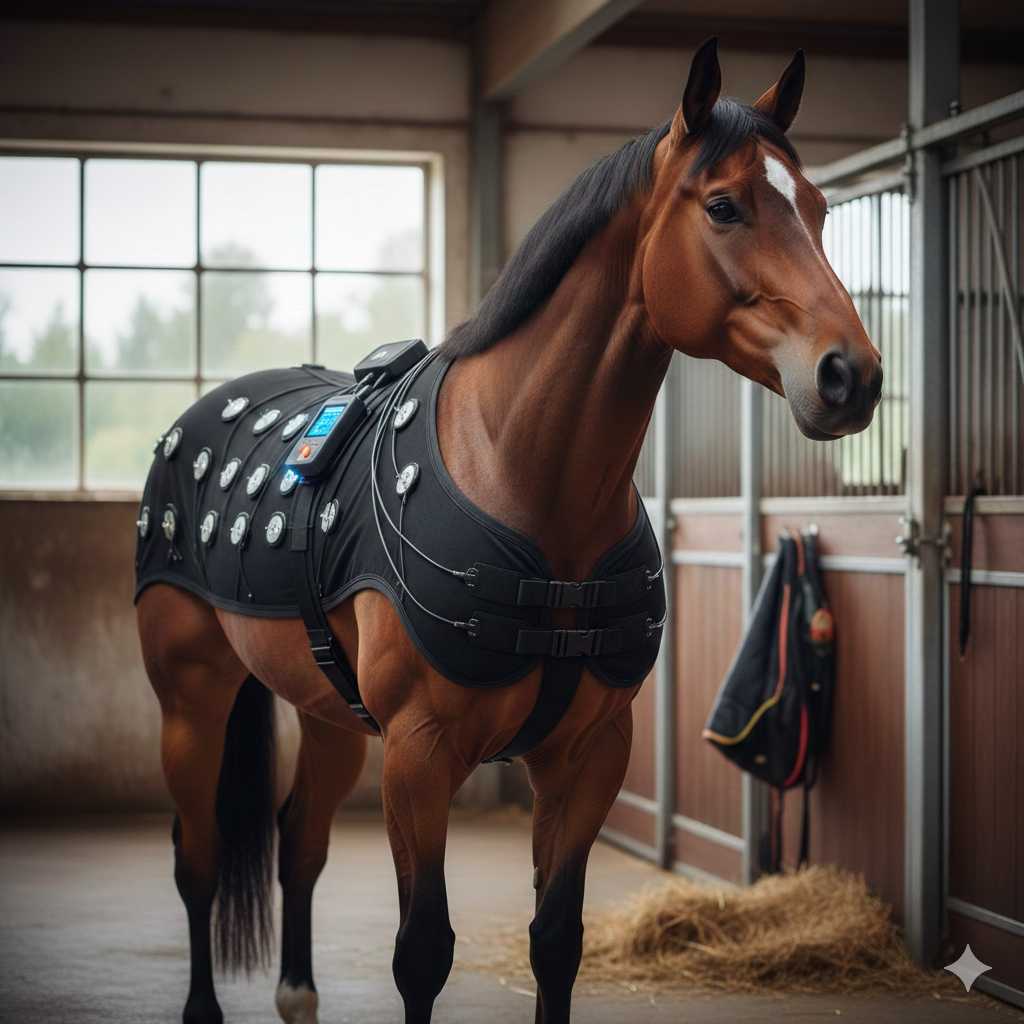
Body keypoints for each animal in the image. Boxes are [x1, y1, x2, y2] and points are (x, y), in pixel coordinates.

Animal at [136, 38, 882, 1024]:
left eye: (820, 209)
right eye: (723, 205)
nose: (852, 376)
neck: (525, 477)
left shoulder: (589, 754)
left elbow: (556, 941)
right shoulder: (420, 756)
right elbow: (422, 952)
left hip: (328, 713)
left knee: (299, 842)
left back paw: (298, 993)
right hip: (192, 700)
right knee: (199, 858)